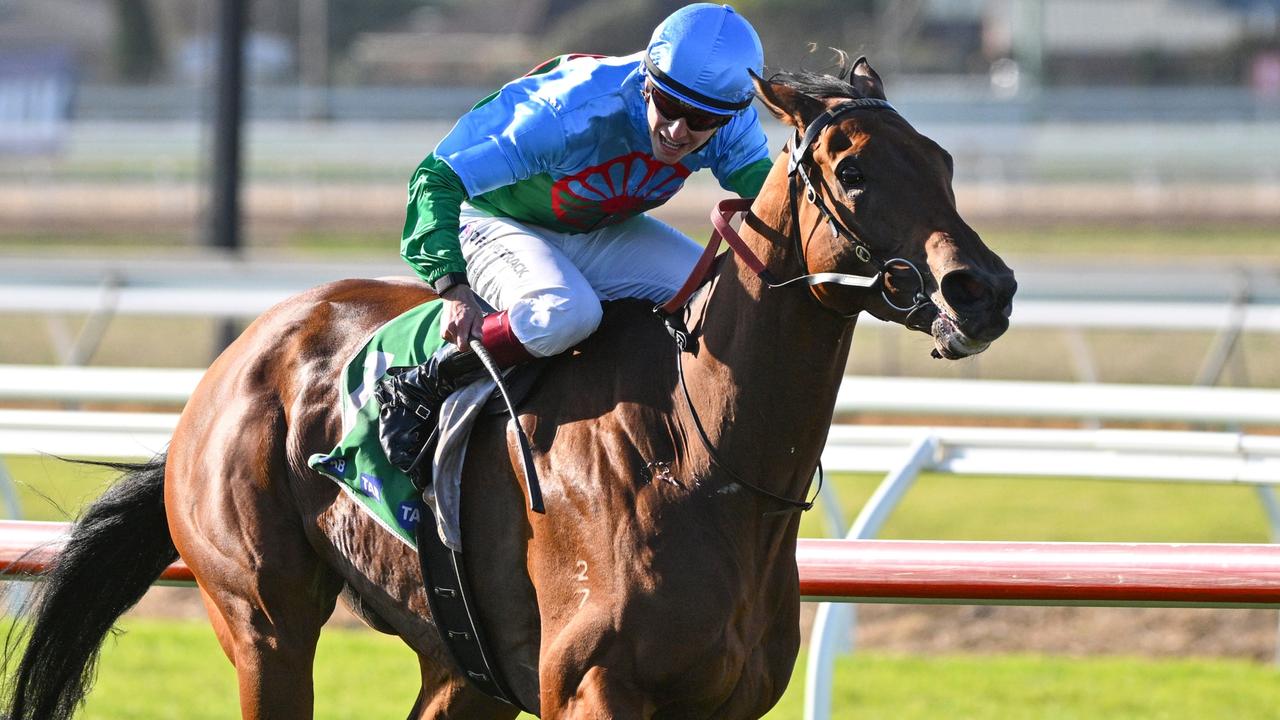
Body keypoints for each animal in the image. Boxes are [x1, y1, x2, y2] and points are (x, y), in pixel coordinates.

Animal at [5, 60, 1013, 717]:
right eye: (852, 171)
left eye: (945, 163)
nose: (984, 289)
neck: (700, 458)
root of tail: (238, 357)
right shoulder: (593, 687)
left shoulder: (725, 700)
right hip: (264, 623)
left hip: (462, 664)